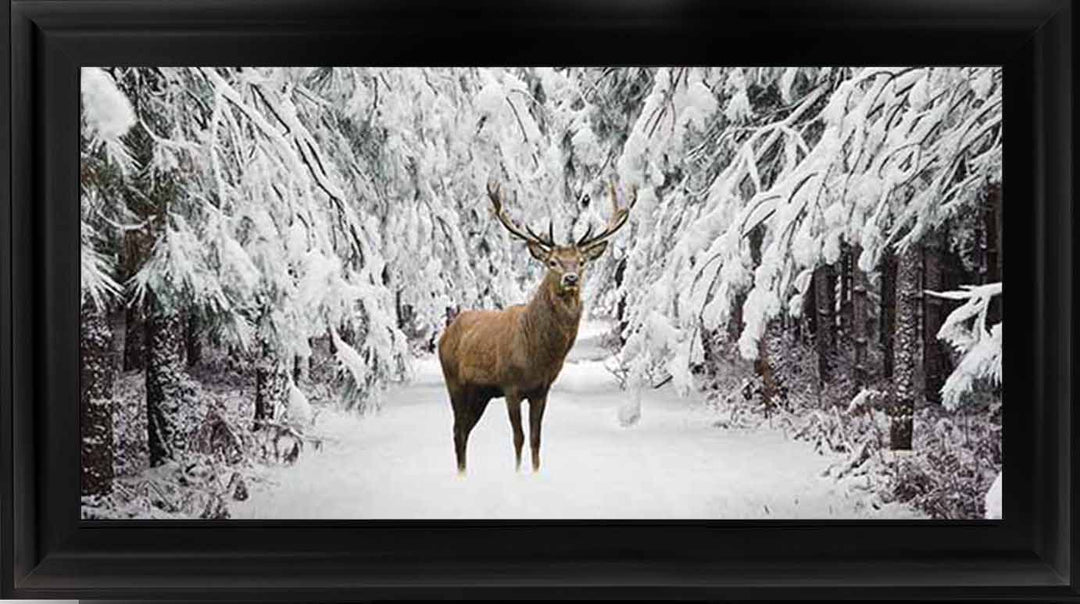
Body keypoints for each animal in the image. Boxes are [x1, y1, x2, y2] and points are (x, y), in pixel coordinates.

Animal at [438, 180, 635, 474]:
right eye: (552, 262)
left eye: (581, 261)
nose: (571, 278)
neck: (537, 354)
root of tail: (446, 332)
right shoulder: (510, 386)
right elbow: (518, 438)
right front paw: (518, 474)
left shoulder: (541, 390)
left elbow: (535, 439)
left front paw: (536, 472)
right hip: (455, 383)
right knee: (457, 430)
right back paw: (461, 474)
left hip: (480, 393)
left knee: (464, 430)